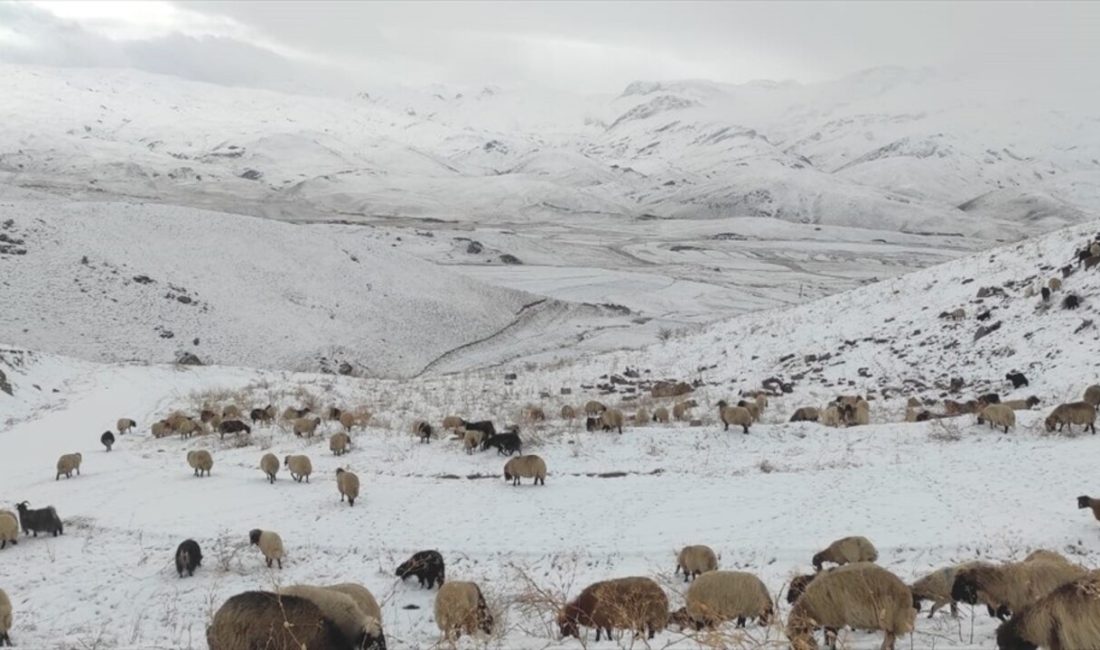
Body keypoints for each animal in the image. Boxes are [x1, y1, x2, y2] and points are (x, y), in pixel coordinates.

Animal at [787, 563, 915, 650]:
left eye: (794, 639)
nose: (787, 599)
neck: (811, 607)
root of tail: (906, 592)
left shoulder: (834, 619)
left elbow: (832, 638)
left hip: (890, 618)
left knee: (889, 638)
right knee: (890, 638)